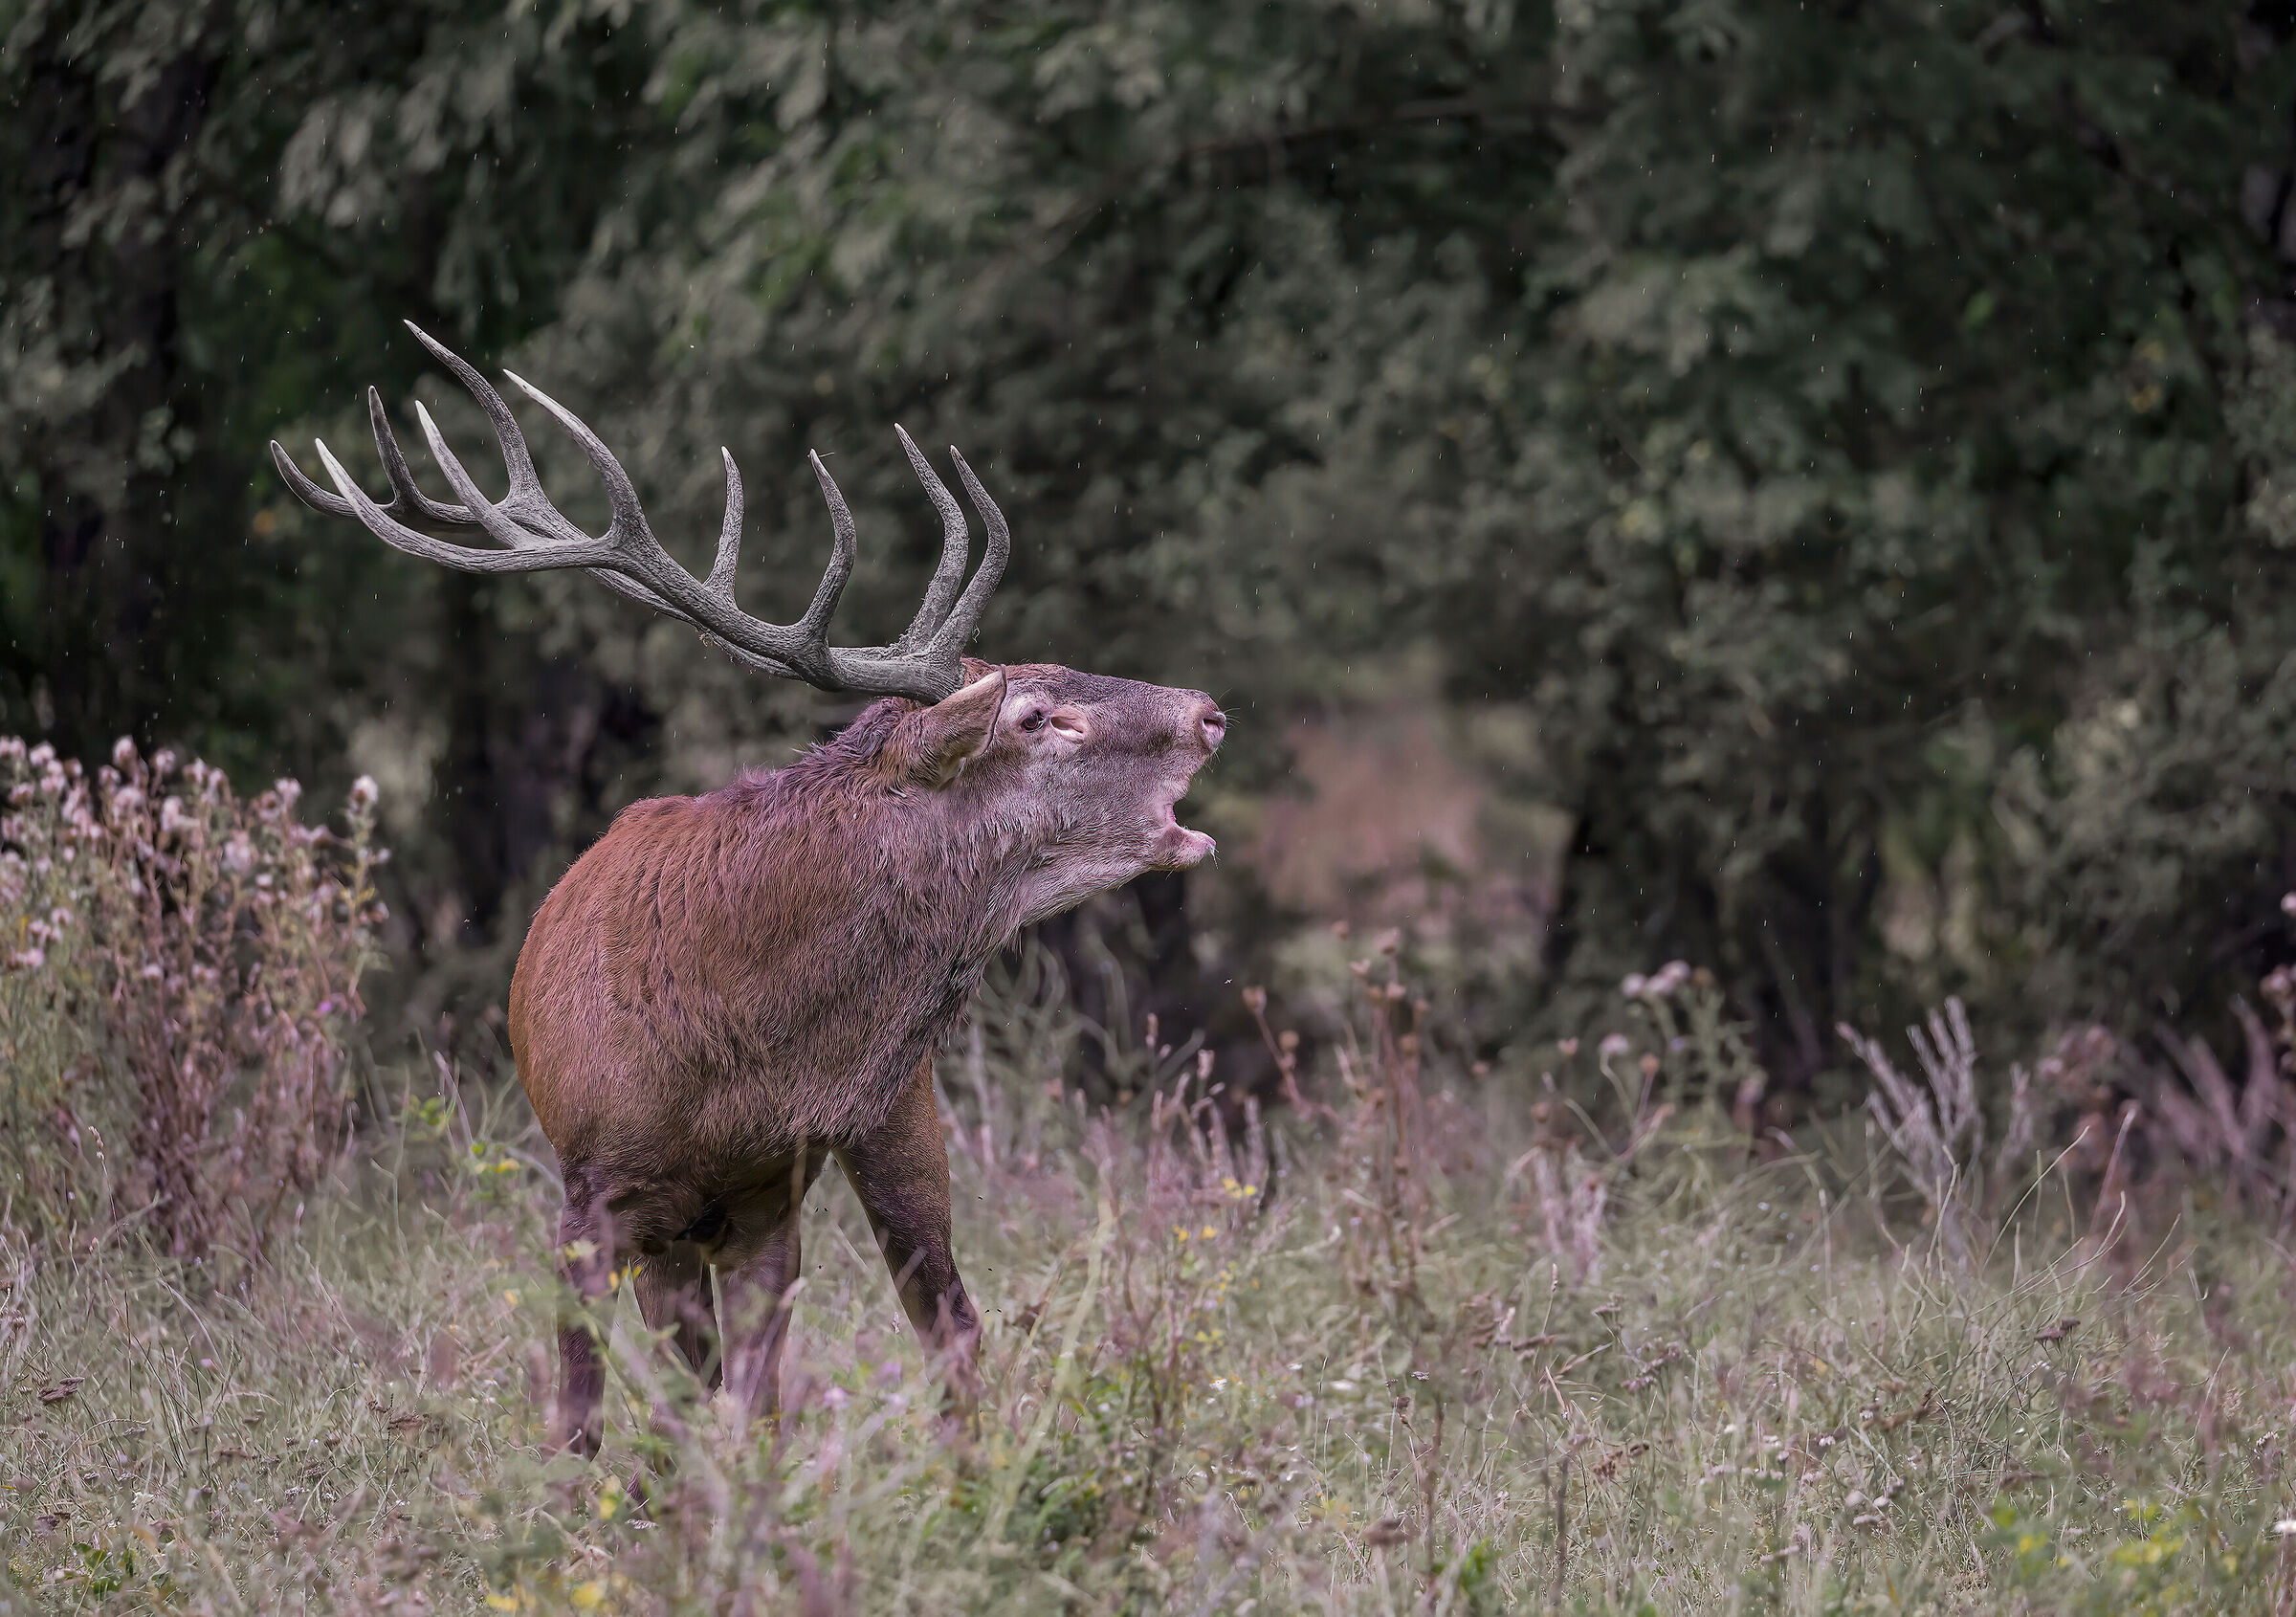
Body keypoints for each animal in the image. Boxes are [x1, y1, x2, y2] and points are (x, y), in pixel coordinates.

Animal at [272, 325, 1226, 1456]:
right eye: (1037, 715)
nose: (1209, 710)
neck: (728, 1058)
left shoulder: (775, 1192)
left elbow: (757, 1408)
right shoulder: (593, 1190)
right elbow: (586, 1412)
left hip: (895, 1121)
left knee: (943, 1323)